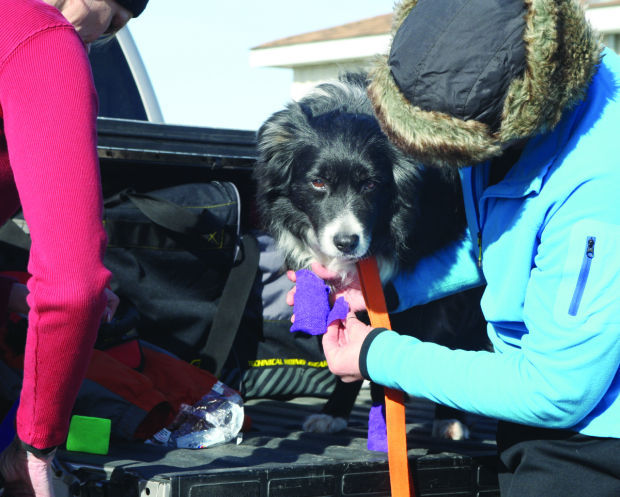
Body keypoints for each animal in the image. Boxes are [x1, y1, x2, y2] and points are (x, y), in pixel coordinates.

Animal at [252, 72, 490, 438]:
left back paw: (451, 420)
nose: (347, 242)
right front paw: (334, 412)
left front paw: (386, 425)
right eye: (318, 182)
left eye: (370, 185)